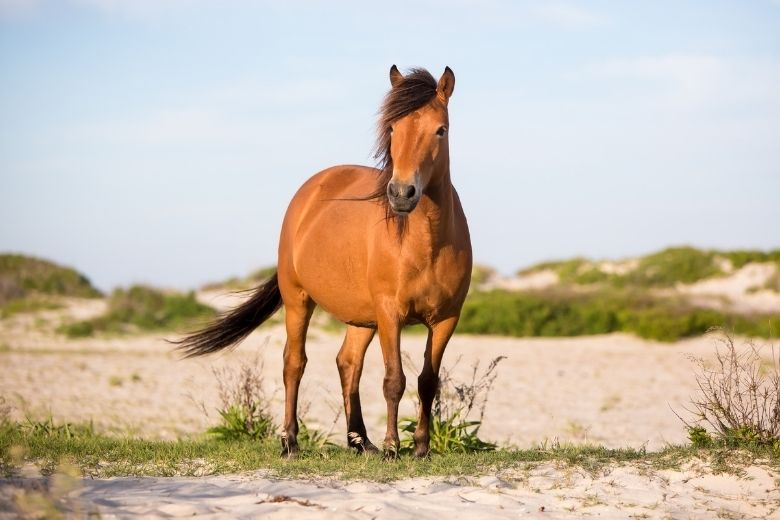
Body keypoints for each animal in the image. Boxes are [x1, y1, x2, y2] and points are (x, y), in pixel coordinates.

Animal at [177, 66, 470, 460]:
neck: (427, 243)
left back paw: (359, 441)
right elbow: (394, 380)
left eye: (441, 129)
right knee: (294, 363)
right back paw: (290, 441)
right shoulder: (390, 313)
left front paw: (420, 448)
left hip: (362, 317)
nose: (401, 193)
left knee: (348, 363)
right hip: (299, 299)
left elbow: (427, 381)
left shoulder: (445, 320)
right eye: (393, 128)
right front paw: (393, 448)